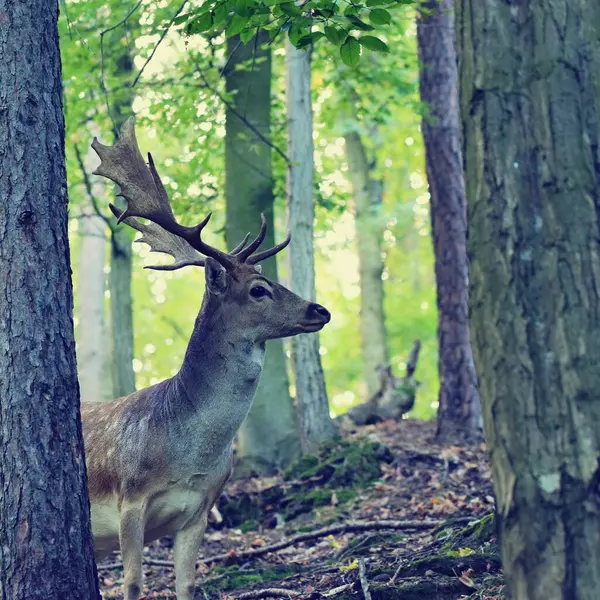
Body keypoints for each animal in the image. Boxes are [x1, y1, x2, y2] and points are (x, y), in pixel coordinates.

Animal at [81, 117, 330, 600]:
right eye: (259, 289)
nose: (320, 310)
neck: (190, 460)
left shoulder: (200, 509)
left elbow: (188, 586)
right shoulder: (129, 497)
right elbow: (134, 584)